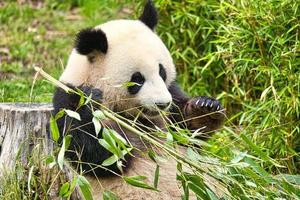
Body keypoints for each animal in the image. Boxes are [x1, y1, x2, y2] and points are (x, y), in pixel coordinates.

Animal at [52, 1, 225, 198]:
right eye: (137, 79)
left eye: (162, 71)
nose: (162, 104)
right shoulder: (68, 98)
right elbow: (98, 153)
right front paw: (89, 100)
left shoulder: (170, 99)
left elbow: (188, 134)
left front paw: (206, 107)